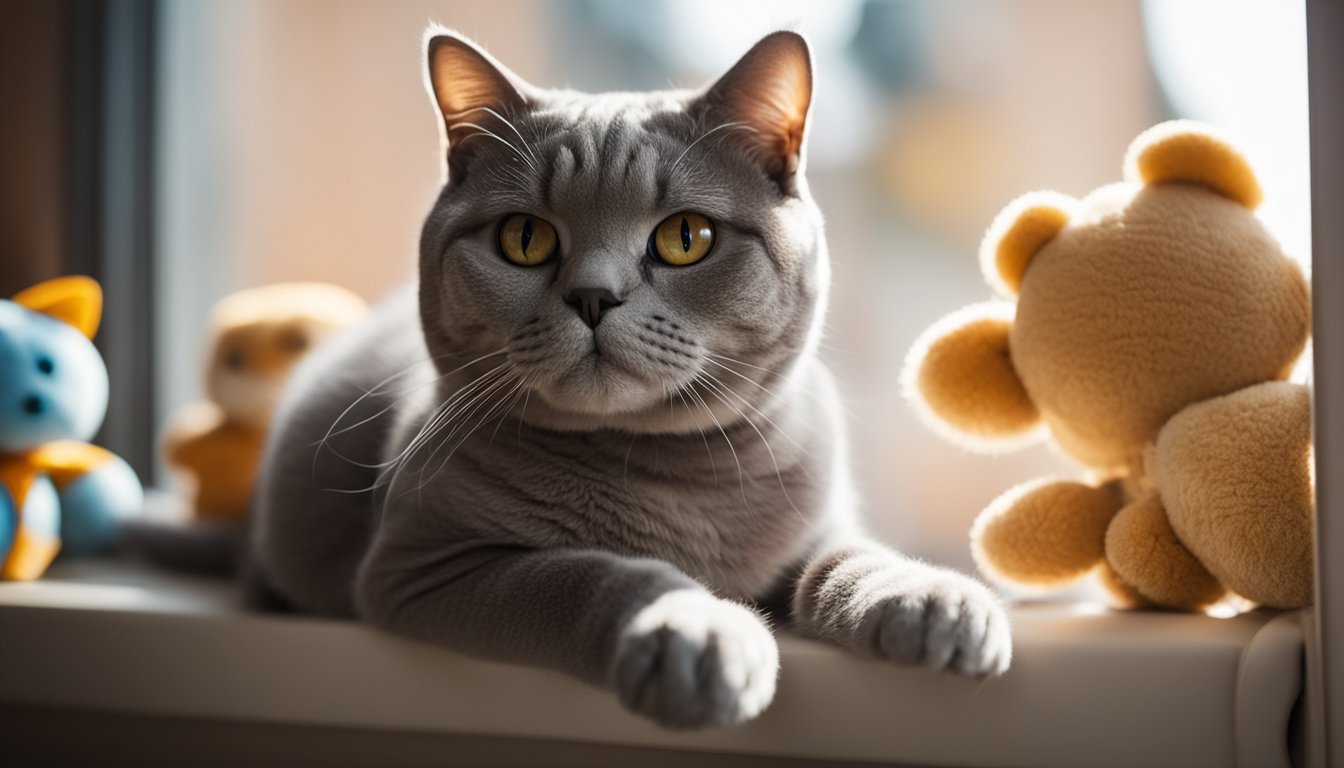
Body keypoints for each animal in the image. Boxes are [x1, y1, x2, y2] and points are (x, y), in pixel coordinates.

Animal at [252, 27, 1010, 731]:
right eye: (523, 238)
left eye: (686, 237)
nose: (594, 296)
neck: (677, 480)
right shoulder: (426, 564)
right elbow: (584, 571)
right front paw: (695, 632)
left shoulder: (816, 529)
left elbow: (851, 556)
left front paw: (929, 598)